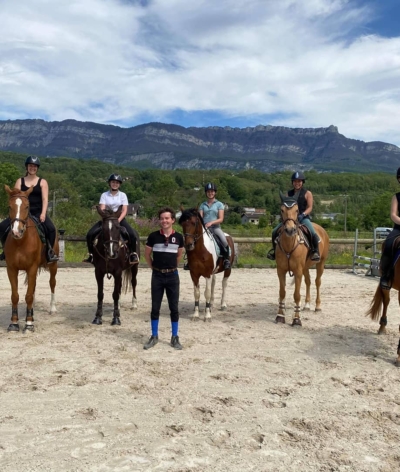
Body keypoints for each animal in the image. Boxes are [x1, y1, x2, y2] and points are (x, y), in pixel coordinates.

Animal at [3, 184, 58, 332]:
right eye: (9, 206)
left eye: (27, 206)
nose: (17, 231)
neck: (20, 241)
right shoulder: (11, 269)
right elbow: (15, 296)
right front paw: (14, 323)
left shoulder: (32, 267)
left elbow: (28, 296)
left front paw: (28, 324)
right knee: (33, 289)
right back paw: (32, 312)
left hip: (53, 266)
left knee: (52, 283)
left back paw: (52, 308)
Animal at [274, 191, 330, 324]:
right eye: (282, 210)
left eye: (297, 210)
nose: (290, 230)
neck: (289, 245)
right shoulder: (281, 271)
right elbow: (282, 293)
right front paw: (280, 316)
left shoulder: (298, 271)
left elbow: (296, 295)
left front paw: (296, 319)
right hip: (305, 267)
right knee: (308, 282)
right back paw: (307, 305)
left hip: (320, 263)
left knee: (317, 282)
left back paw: (317, 307)